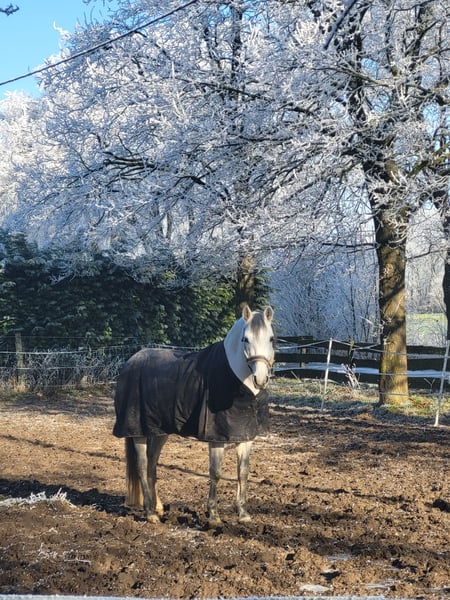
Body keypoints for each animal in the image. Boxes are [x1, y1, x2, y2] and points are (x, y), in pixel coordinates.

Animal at [113, 304, 275, 527]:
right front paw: (213, 515)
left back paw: (158, 507)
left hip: (160, 430)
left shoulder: (245, 436)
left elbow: (242, 472)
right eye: (246, 339)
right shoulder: (215, 438)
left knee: (152, 463)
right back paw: (150, 513)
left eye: (271, 338)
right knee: (143, 465)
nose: (260, 379)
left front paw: (243, 514)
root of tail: (131, 361)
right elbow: (215, 473)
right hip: (137, 431)